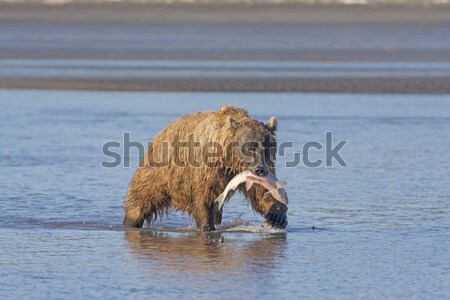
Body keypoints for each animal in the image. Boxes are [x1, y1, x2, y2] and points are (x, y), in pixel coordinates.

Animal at [122, 104, 288, 231]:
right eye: (250, 147)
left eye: (266, 147)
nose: (260, 169)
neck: (229, 159)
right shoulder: (208, 167)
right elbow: (204, 196)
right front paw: (206, 226)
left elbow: (261, 191)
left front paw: (277, 216)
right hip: (158, 172)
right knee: (140, 199)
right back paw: (131, 221)